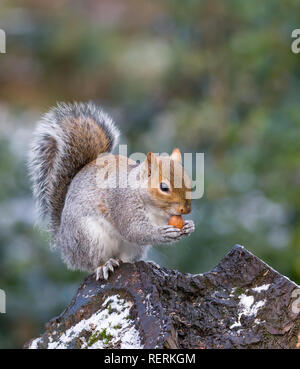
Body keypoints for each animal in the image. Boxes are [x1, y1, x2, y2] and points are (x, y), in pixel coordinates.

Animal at [28, 100, 195, 278]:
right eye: (164, 187)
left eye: (188, 180)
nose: (186, 209)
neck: (153, 207)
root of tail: (65, 243)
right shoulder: (123, 204)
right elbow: (134, 230)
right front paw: (163, 234)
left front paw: (188, 226)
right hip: (89, 238)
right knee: (93, 262)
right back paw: (104, 266)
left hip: (132, 248)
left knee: (126, 259)